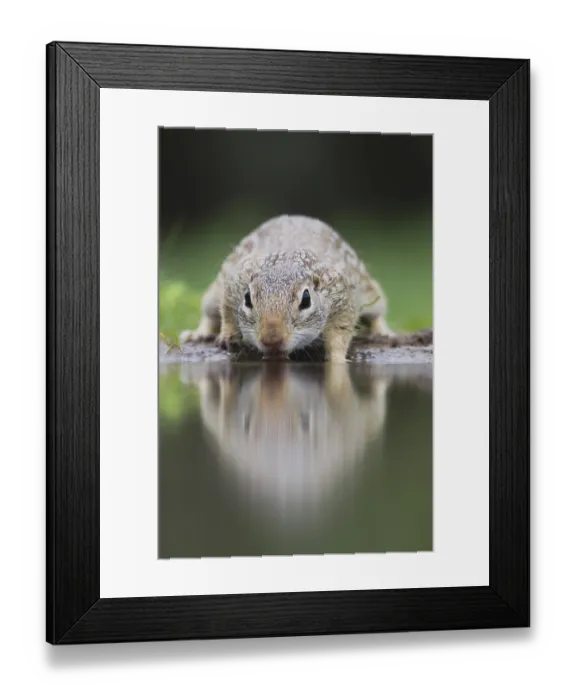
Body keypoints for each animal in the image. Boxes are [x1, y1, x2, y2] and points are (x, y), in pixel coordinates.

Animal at [180, 215, 394, 363]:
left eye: (306, 300)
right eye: (247, 298)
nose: (271, 339)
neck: (287, 261)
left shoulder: (342, 298)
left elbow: (339, 333)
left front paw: (338, 359)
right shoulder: (235, 280)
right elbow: (227, 312)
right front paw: (227, 335)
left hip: (369, 291)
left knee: (376, 314)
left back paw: (383, 332)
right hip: (212, 295)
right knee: (209, 315)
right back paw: (198, 333)